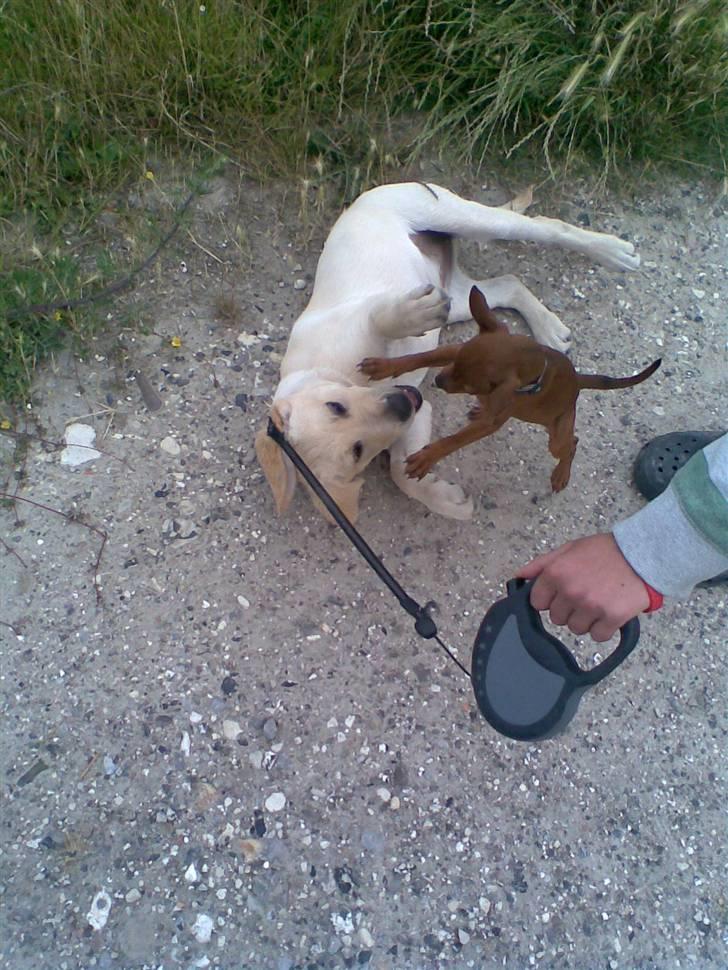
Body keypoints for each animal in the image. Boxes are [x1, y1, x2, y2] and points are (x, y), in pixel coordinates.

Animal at [358, 284, 660, 488]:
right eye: (454, 370)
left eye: (468, 385)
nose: (437, 381)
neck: (534, 364)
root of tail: (577, 380)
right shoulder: (454, 352)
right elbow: (419, 357)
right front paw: (383, 366)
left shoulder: (492, 422)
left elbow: (454, 440)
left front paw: (428, 457)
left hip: (557, 435)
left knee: (571, 443)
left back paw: (562, 473)